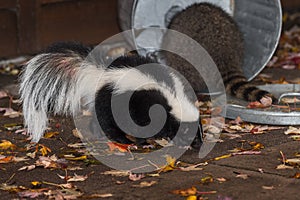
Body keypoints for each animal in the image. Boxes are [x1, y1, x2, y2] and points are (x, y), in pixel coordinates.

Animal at [19, 42, 202, 145]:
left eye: (200, 130)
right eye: (188, 131)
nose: (199, 143)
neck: (173, 98)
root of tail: (100, 72)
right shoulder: (147, 108)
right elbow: (144, 127)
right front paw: (145, 142)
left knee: (97, 119)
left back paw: (97, 133)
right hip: (111, 100)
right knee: (107, 121)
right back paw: (122, 139)